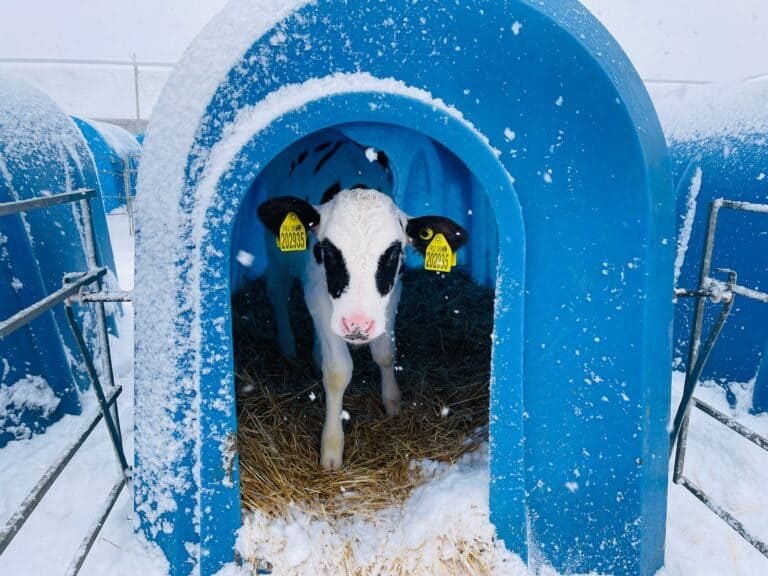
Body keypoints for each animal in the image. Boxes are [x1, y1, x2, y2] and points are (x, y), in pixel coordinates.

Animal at [257, 138, 467, 469]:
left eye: (393, 254)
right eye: (329, 251)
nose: (357, 323)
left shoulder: (392, 292)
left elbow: (385, 352)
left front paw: (393, 402)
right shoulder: (318, 291)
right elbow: (337, 370)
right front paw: (331, 449)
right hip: (276, 249)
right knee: (277, 292)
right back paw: (289, 347)